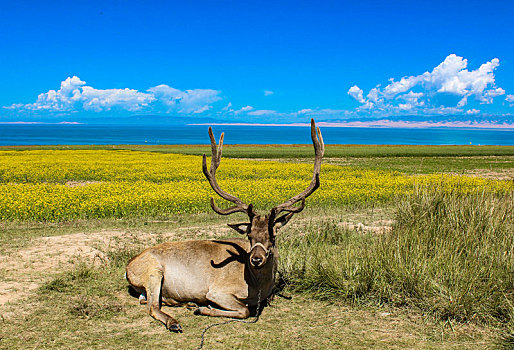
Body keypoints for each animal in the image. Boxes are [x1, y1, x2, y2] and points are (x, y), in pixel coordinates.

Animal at [124, 119, 322, 332]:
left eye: (273, 236)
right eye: (249, 235)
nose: (256, 259)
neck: (257, 287)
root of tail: (128, 268)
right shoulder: (217, 290)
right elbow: (244, 310)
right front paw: (205, 308)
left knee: (148, 300)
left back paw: (186, 303)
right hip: (153, 271)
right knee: (152, 306)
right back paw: (176, 321)